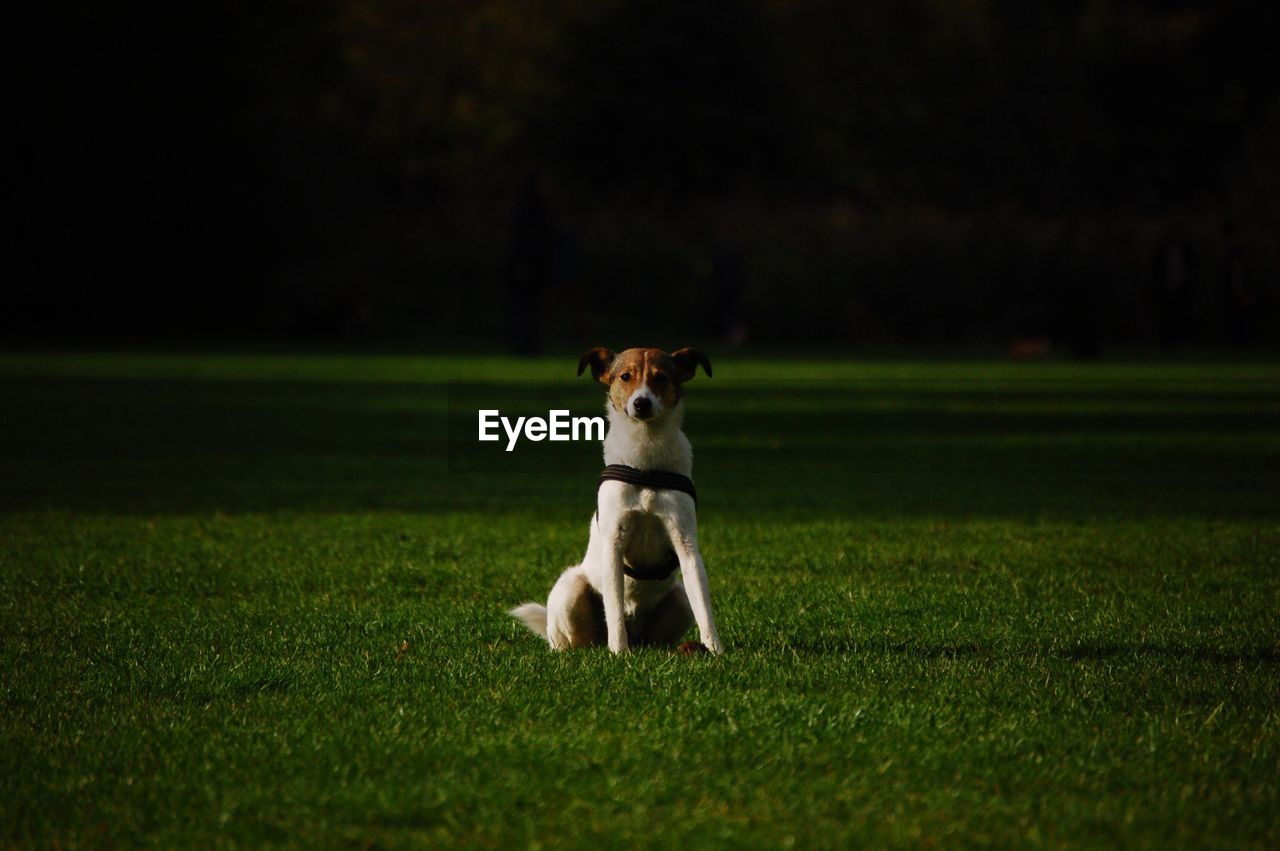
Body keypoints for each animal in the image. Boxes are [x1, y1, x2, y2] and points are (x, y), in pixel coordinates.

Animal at [512, 342, 732, 650]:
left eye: (661, 378)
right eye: (625, 376)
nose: (641, 403)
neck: (646, 461)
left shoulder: (686, 544)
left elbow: (704, 606)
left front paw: (715, 651)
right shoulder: (614, 544)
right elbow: (614, 608)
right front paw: (619, 652)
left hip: (678, 598)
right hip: (571, 589)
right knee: (574, 638)